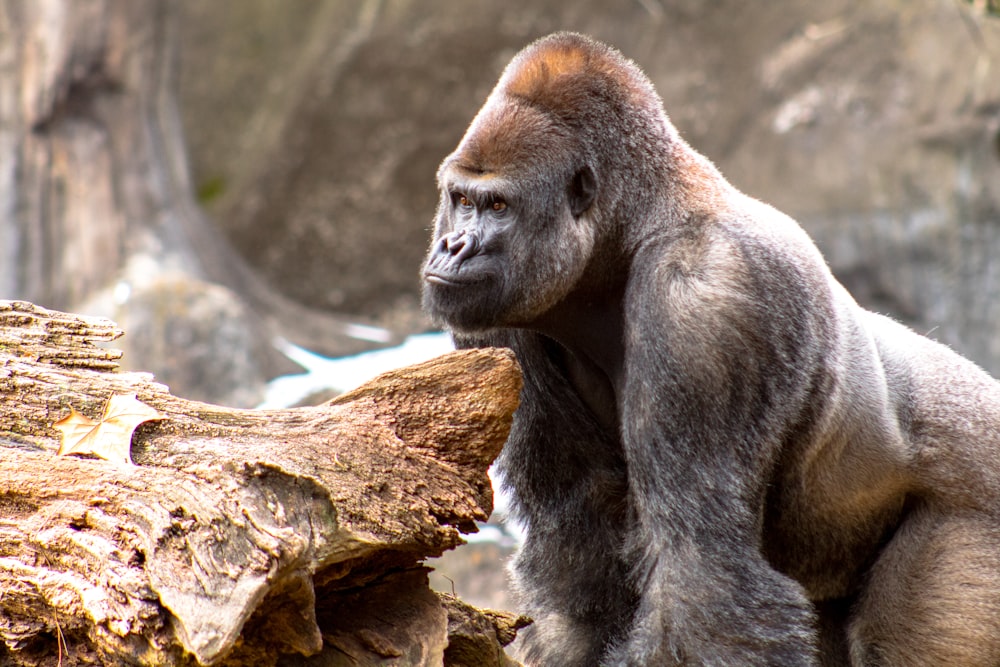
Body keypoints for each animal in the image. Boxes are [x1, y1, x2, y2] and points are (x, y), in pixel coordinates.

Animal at [420, 32, 1000, 667]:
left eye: (497, 206)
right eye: (460, 199)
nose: (452, 246)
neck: (631, 229)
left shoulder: (706, 306)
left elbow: (697, 574)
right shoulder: (499, 324)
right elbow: (579, 547)